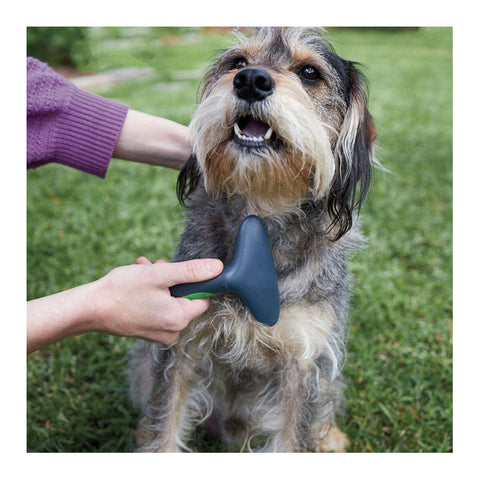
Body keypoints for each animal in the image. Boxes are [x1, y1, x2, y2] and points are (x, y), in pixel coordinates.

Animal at [129, 27, 376, 454]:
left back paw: (330, 436)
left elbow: (294, 436)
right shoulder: (183, 346)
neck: (262, 212)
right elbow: (166, 423)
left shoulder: (304, 361)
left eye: (310, 72)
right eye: (238, 62)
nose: (250, 80)